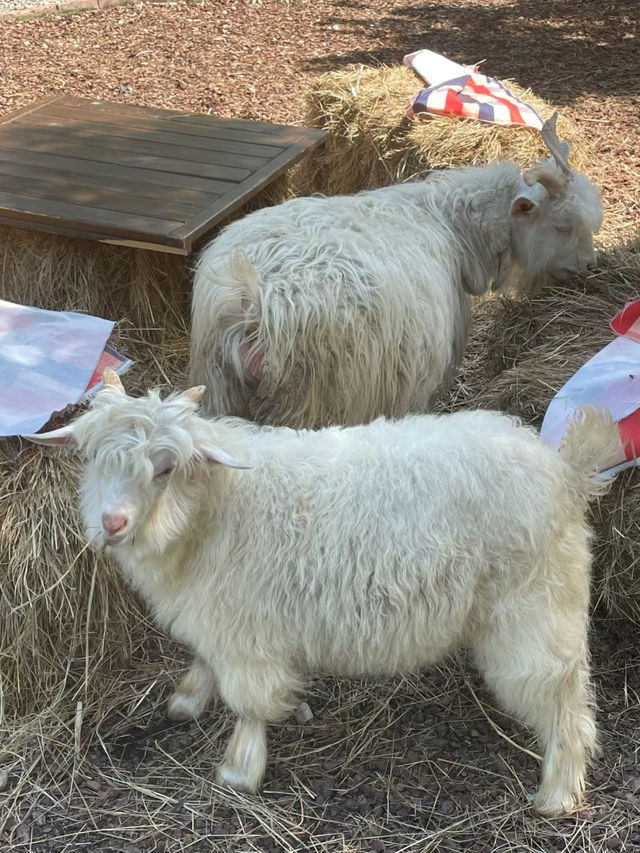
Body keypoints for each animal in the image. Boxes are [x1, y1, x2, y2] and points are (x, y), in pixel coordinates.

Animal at [26, 372, 620, 812]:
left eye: (167, 468)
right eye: (94, 457)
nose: (113, 524)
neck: (215, 509)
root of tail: (566, 473)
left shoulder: (248, 631)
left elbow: (250, 704)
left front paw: (239, 770)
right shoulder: (213, 616)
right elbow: (204, 661)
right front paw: (188, 699)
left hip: (535, 606)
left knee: (562, 696)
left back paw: (558, 793)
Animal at [191, 115, 604, 426]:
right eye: (562, 226)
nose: (590, 267)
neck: (450, 225)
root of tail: (252, 304)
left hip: (220, 395)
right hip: (313, 404)